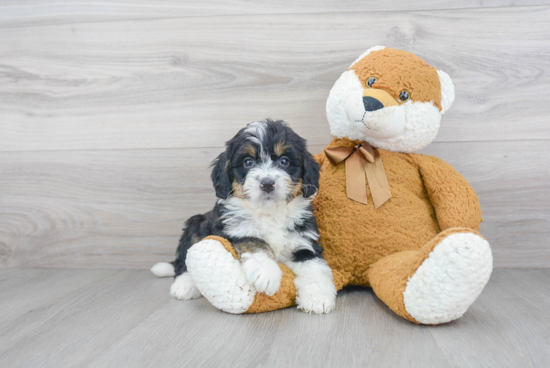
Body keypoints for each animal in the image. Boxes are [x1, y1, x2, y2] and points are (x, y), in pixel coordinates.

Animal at [153, 120, 338, 314]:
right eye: (248, 162)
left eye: (284, 161)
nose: (267, 184)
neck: (269, 213)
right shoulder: (232, 229)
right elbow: (254, 241)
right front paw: (267, 272)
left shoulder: (303, 240)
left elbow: (314, 266)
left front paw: (317, 297)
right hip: (196, 224)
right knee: (185, 257)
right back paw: (185, 284)